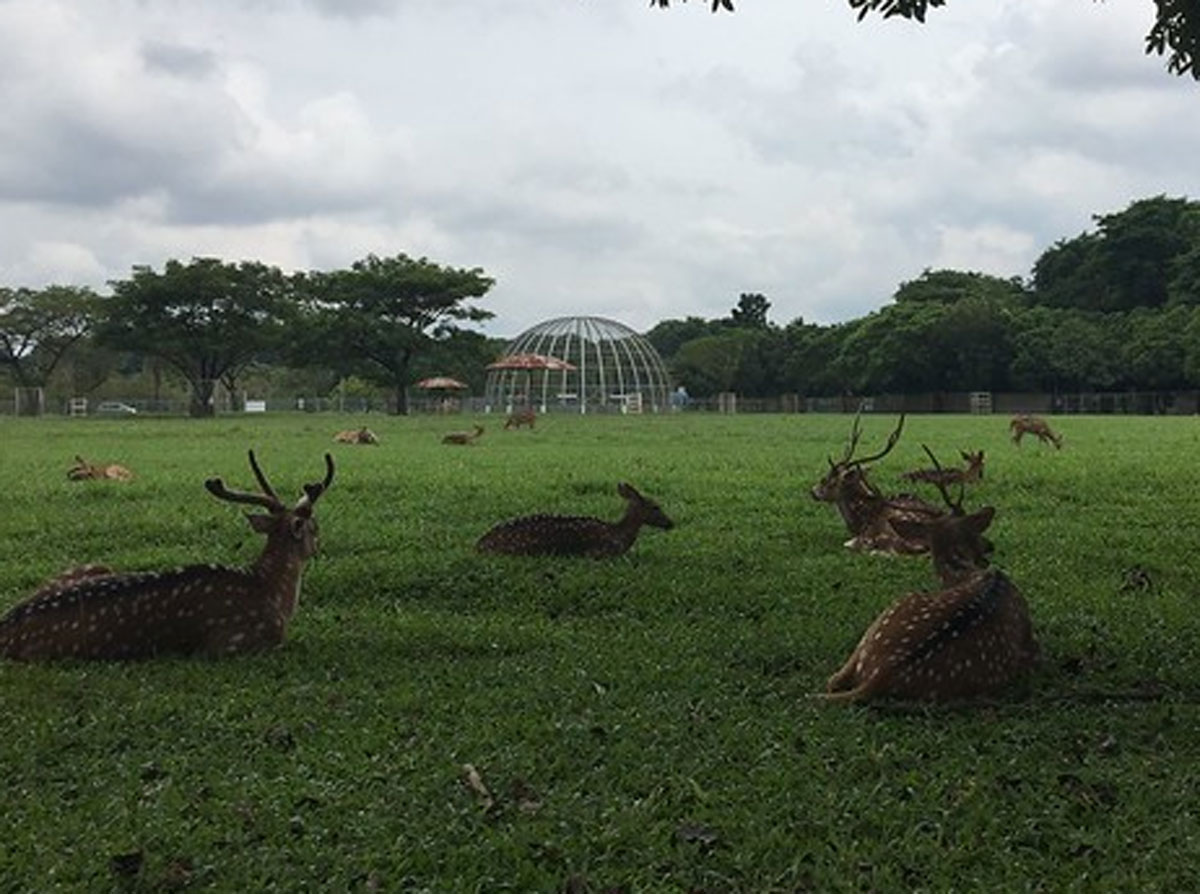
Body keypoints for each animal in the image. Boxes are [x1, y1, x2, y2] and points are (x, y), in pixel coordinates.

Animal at [4, 448, 336, 657]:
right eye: (315, 526)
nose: (320, 544)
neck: (272, 591)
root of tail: (3, 629)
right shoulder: (235, 642)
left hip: (92, 566)